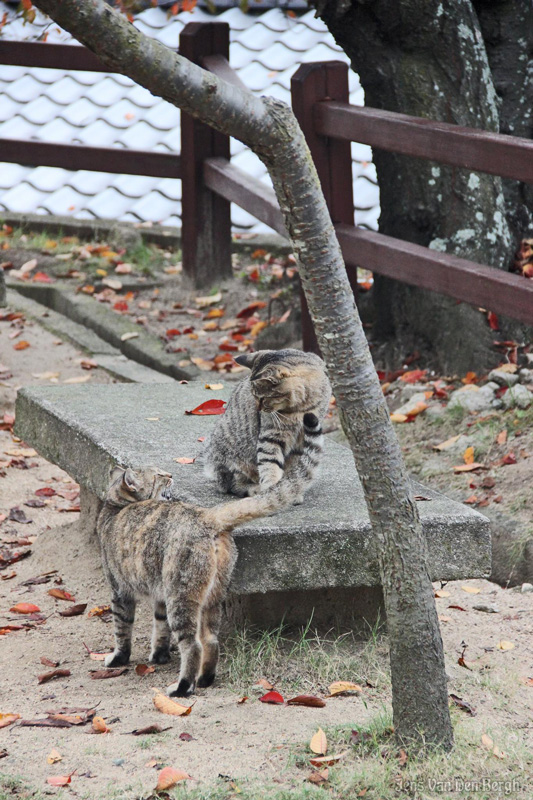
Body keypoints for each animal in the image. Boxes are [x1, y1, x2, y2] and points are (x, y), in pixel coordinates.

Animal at [96, 466, 304, 696]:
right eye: (159, 475)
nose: (170, 475)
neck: (115, 506)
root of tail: (207, 515)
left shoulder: (120, 591)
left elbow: (122, 629)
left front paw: (118, 658)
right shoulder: (159, 595)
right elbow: (161, 628)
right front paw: (159, 656)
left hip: (180, 596)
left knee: (192, 645)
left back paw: (183, 686)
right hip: (211, 596)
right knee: (210, 641)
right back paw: (205, 679)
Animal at [203, 348, 328, 504]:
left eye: (263, 398)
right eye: (254, 396)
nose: (258, 409)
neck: (300, 407)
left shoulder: (302, 440)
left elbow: (294, 469)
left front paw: (288, 490)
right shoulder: (271, 435)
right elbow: (270, 465)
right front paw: (272, 492)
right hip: (232, 455)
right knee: (232, 484)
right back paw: (253, 488)